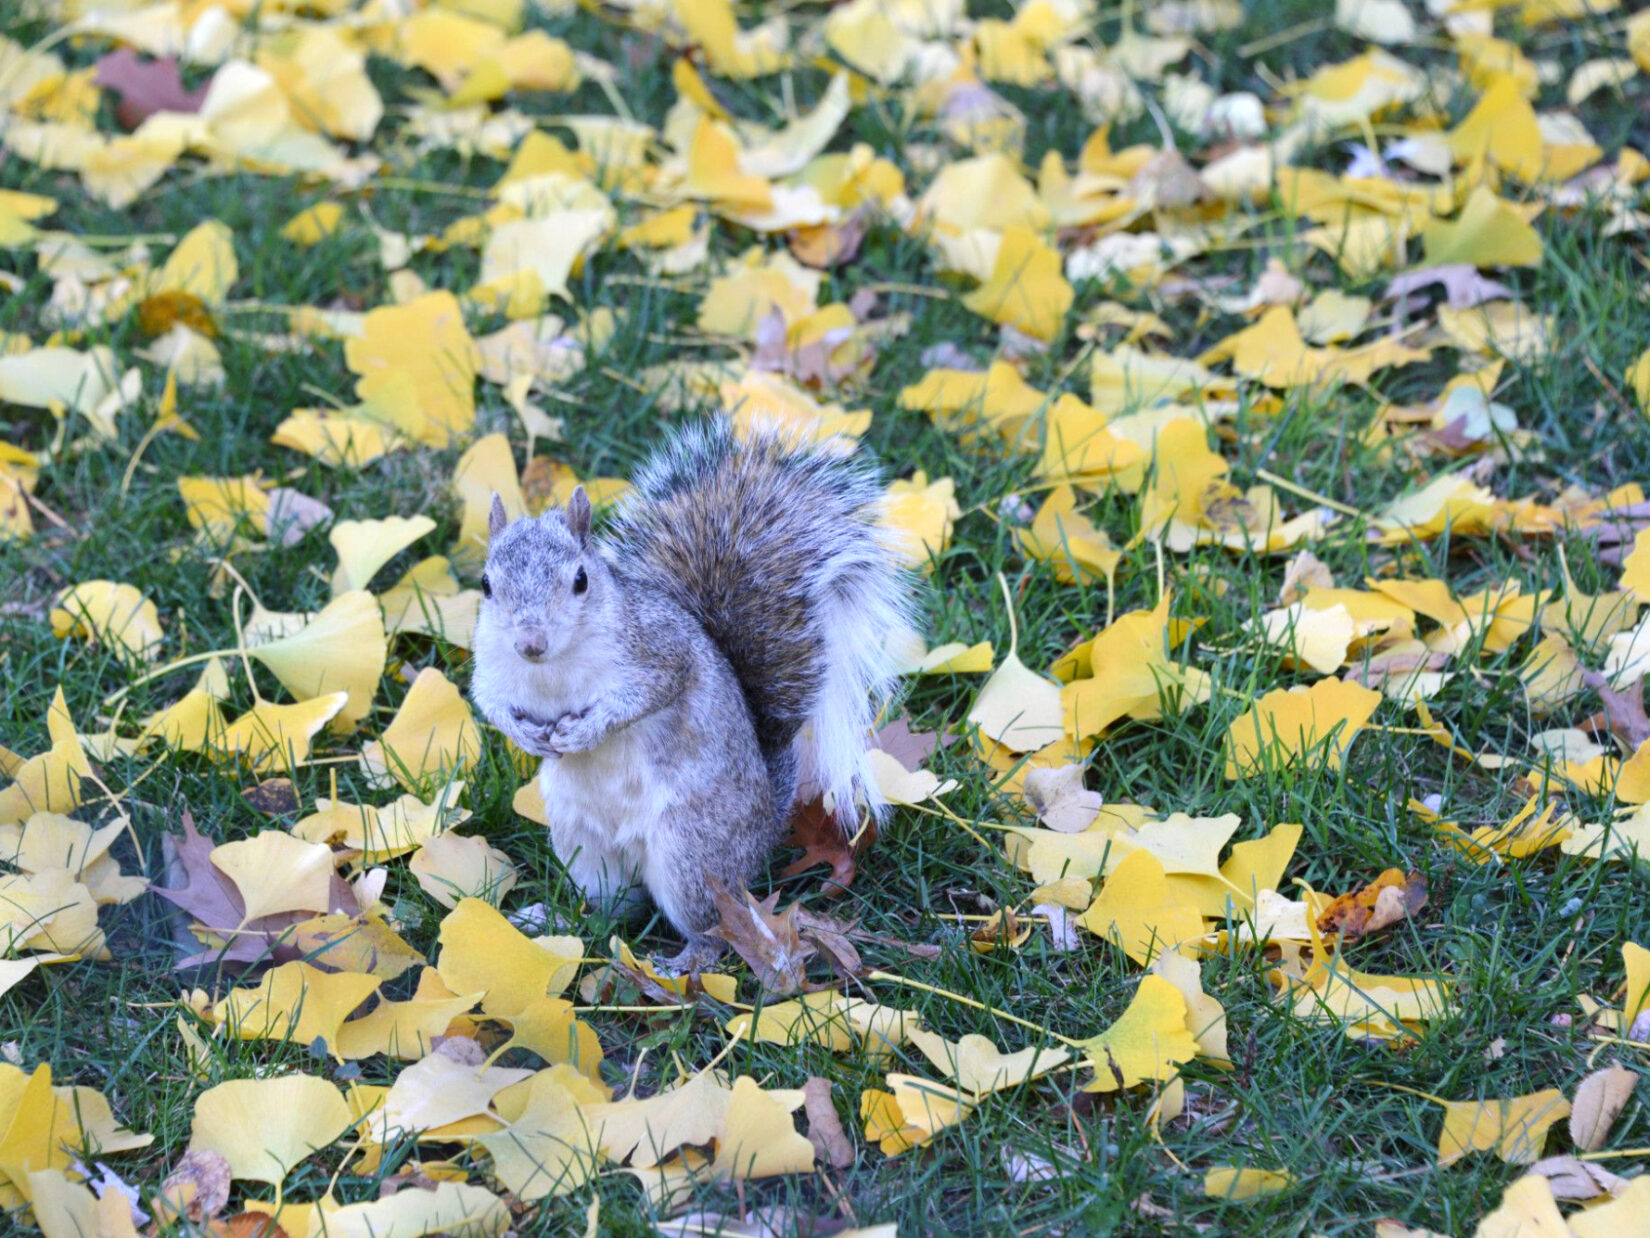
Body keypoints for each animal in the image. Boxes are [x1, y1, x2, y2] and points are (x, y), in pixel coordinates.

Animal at [471, 422, 924, 977]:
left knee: (713, 926)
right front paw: (525, 735)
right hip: (584, 842)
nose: (530, 644)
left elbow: (648, 694)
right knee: (613, 909)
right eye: (486, 583)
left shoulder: (661, 651)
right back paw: (551, 918)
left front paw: (586, 730)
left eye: (580, 580)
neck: (551, 672)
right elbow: (489, 701)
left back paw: (682, 962)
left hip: (691, 850)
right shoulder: (493, 669)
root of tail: (762, 831)